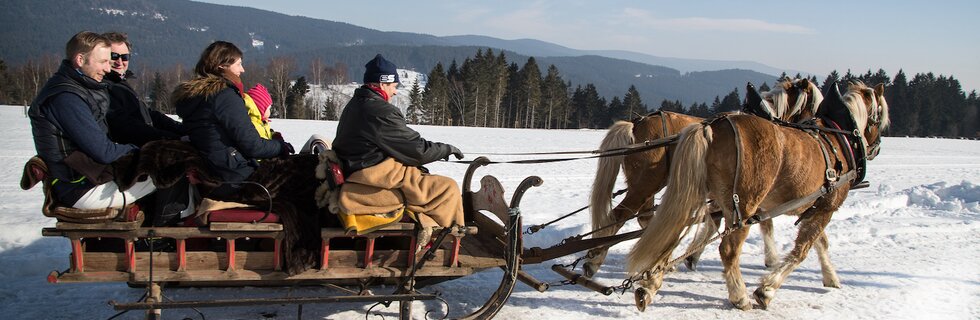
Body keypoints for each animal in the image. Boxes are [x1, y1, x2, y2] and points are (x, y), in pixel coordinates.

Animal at [584, 78, 824, 278]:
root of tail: (635, 124)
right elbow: (764, 223)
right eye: (813, 104)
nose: (814, 128)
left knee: (644, 218)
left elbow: (716, 221)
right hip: (646, 184)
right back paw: (597, 261)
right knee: (620, 216)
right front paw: (772, 258)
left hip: (645, 185)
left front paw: (692, 256)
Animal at [628, 81, 888, 312]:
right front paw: (767, 289)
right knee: (728, 249)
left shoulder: (811, 206)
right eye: (880, 118)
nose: (877, 148)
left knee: (668, 234)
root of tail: (711, 127)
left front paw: (830, 276)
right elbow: (802, 249)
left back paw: (649, 284)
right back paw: (739, 296)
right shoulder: (826, 206)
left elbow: (819, 242)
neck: (840, 135)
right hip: (742, 204)